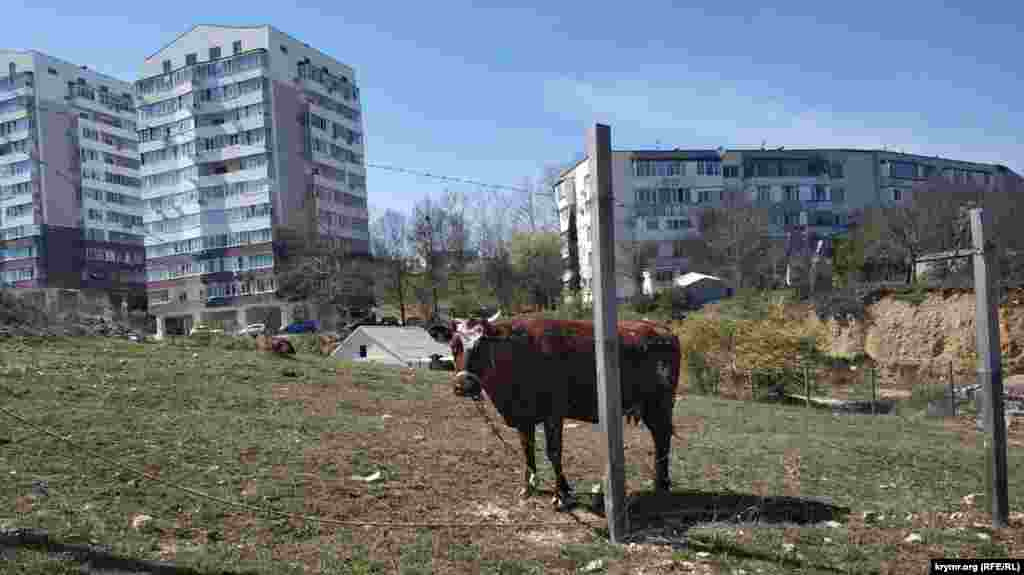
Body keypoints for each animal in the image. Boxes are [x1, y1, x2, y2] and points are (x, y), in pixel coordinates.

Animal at [448, 311, 679, 507]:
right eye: (454, 345)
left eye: (482, 345)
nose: (464, 385)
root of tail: (661, 329)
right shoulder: (524, 417)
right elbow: (527, 449)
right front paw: (529, 487)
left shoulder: (554, 414)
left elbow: (554, 452)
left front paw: (561, 495)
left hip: (660, 404)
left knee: (662, 437)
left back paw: (661, 484)